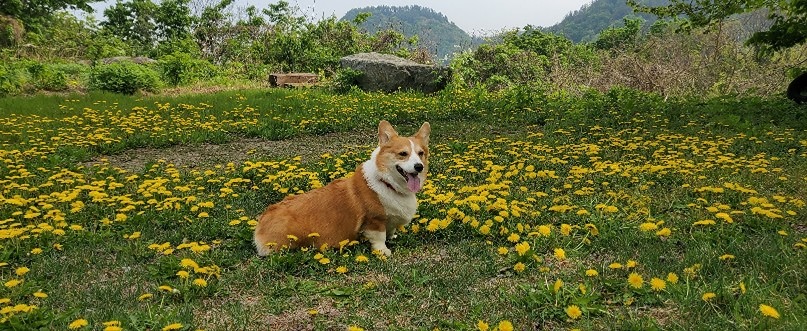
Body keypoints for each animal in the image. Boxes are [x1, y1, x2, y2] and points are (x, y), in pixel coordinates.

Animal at [254, 121, 430, 256]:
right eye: (403, 153)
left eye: (421, 153)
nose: (419, 167)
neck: (387, 182)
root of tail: (261, 223)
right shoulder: (374, 220)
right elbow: (379, 237)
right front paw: (383, 251)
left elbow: (390, 230)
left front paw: (392, 237)